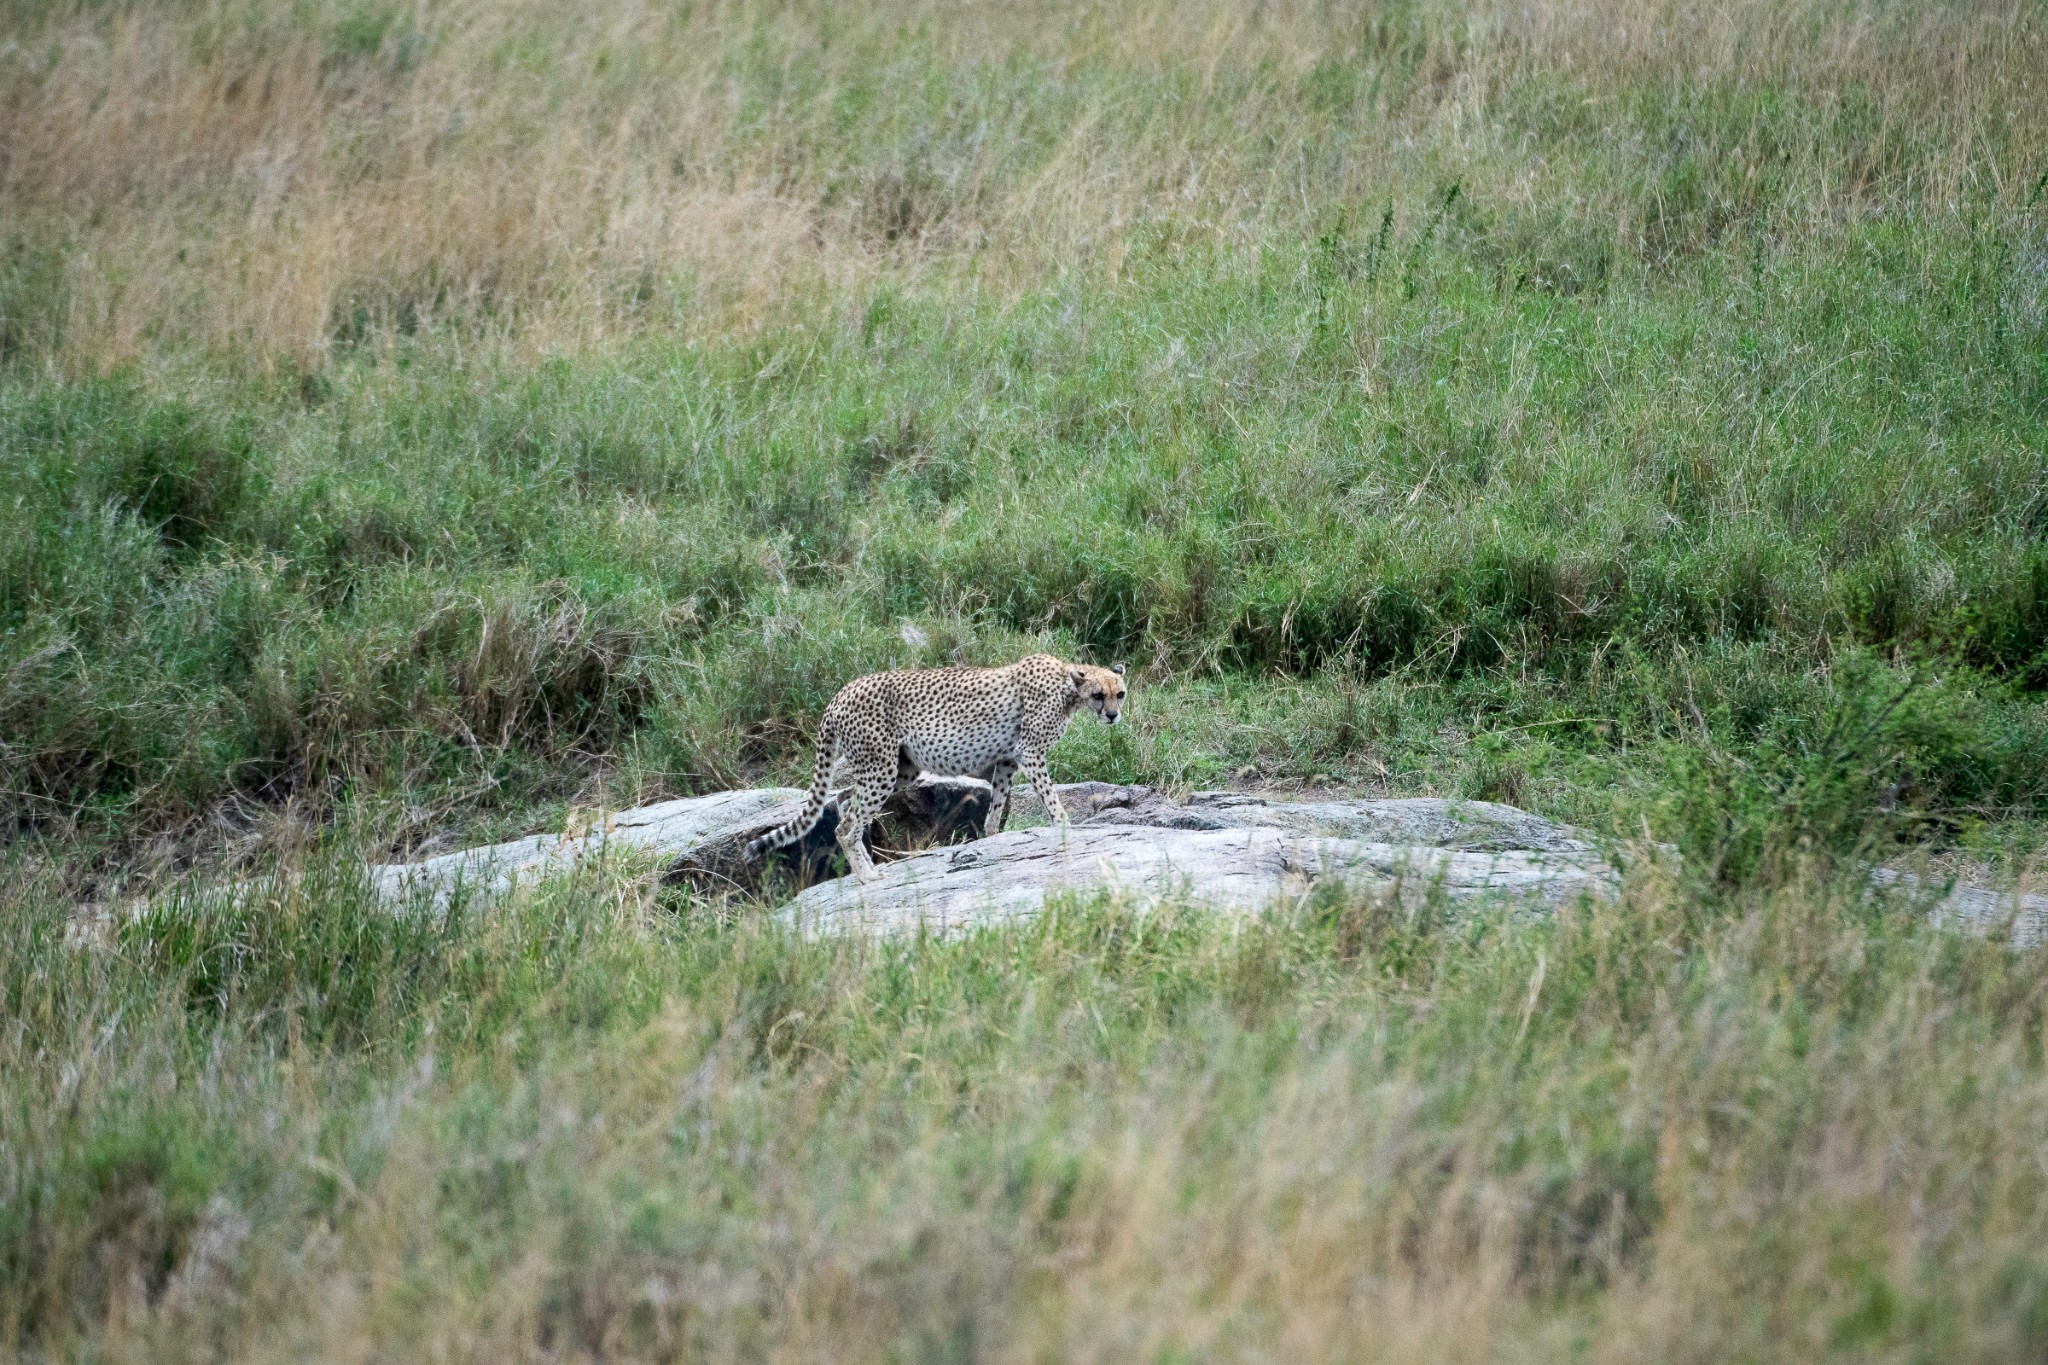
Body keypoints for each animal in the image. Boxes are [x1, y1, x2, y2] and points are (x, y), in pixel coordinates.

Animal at [745, 654, 1130, 888]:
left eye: (1120, 694)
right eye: (1099, 695)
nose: (1113, 716)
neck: (1068, 687)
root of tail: (842, 692)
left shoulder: (1008, 759)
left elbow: (997, 805)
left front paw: (992, 835)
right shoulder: (1029, 752)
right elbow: (1050, 797)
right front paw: (1065, 825)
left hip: (899, 769)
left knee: (843, 800)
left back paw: (868, 864)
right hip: (881, 767)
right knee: (847, 823)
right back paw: (867, 877)